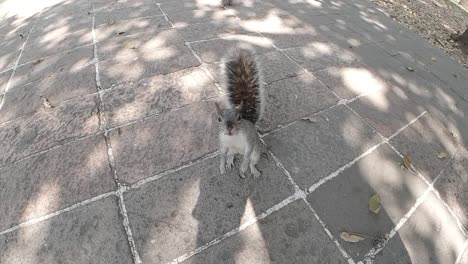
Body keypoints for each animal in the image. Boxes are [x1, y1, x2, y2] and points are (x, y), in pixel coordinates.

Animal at [214, 47, 266, 179]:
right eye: (219, 119)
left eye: (239, 117)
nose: (229, 128)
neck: (233, 137)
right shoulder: (223, 143)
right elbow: (222, 154)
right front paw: (221, 166)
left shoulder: (250, 140)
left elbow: (247, 155)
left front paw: (243, 166)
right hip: (232, 149)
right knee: (230, 155)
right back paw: (228, 163)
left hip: (256, 153)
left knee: (252, 162)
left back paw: (252, 170)